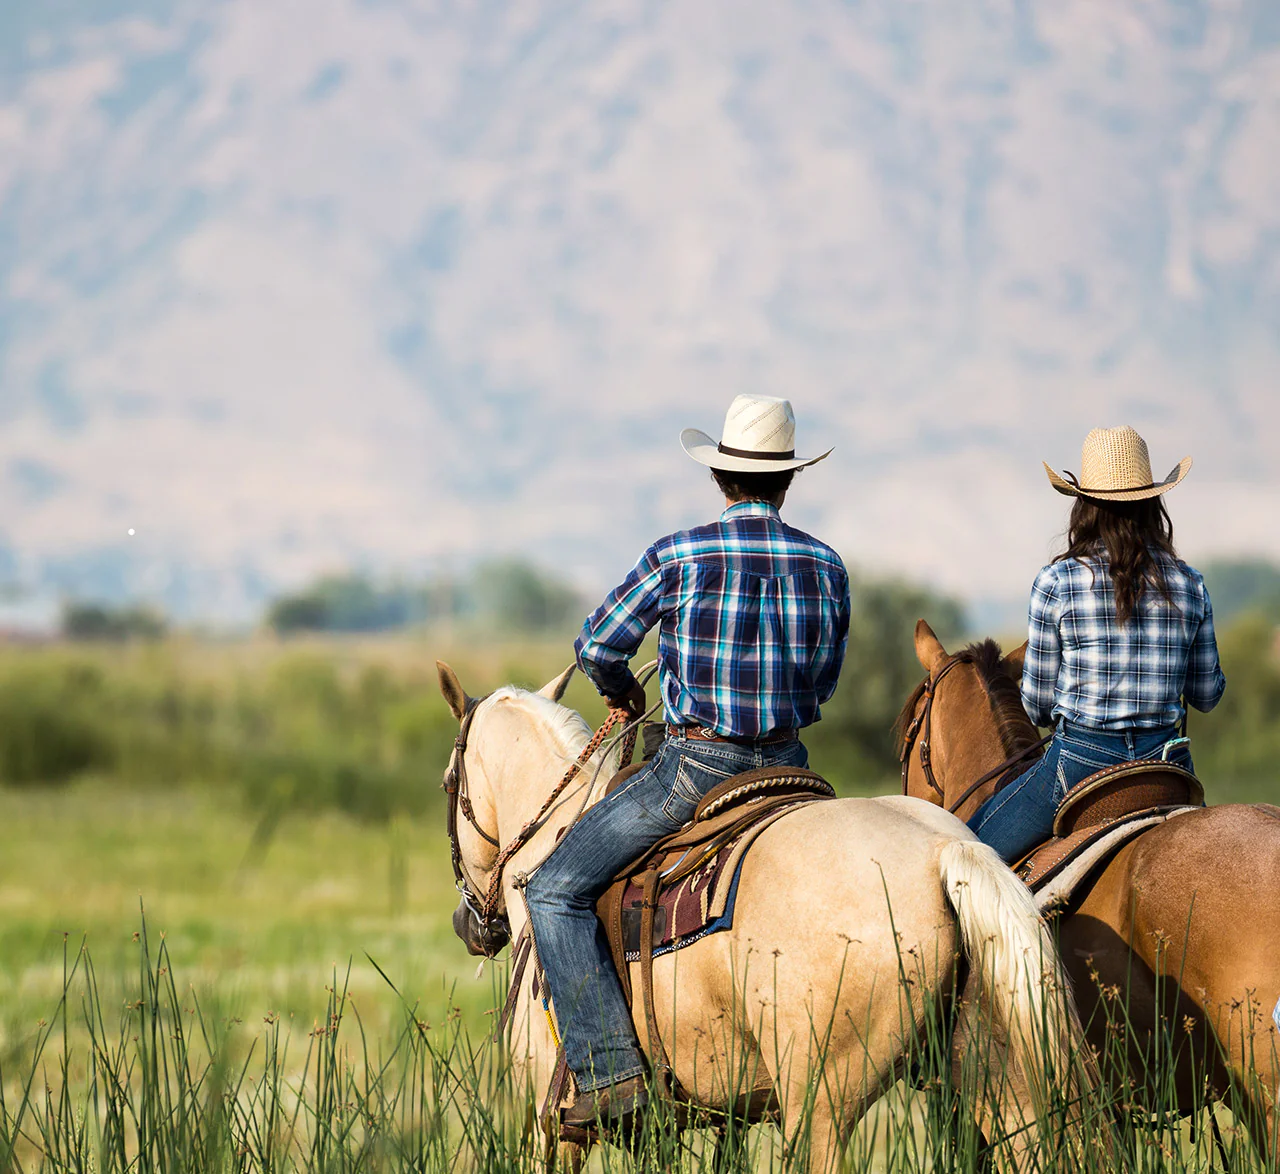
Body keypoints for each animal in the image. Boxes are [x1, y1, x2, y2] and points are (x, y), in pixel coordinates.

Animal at [440, 665, 1090, 1167]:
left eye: (449, 783)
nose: (468, 926)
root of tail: (942, 851)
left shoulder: (547, 1125)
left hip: (820, 1106)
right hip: (999, 1082)